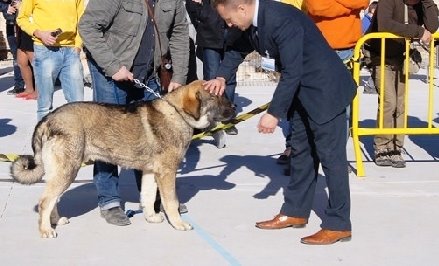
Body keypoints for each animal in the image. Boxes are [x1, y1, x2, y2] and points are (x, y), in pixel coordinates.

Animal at [10, 80, 235, 238]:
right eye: (216, 96)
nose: (234, 107)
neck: (177, 113)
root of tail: (48, 119)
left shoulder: (151, 172)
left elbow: (147, 197)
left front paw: (151, 218)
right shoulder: (167, 172)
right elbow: (171, 202)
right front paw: (179, 224)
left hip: (63, 172)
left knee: (52, 200)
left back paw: (56, 221)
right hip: (67, 170)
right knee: (45, 201)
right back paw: (46, 230)